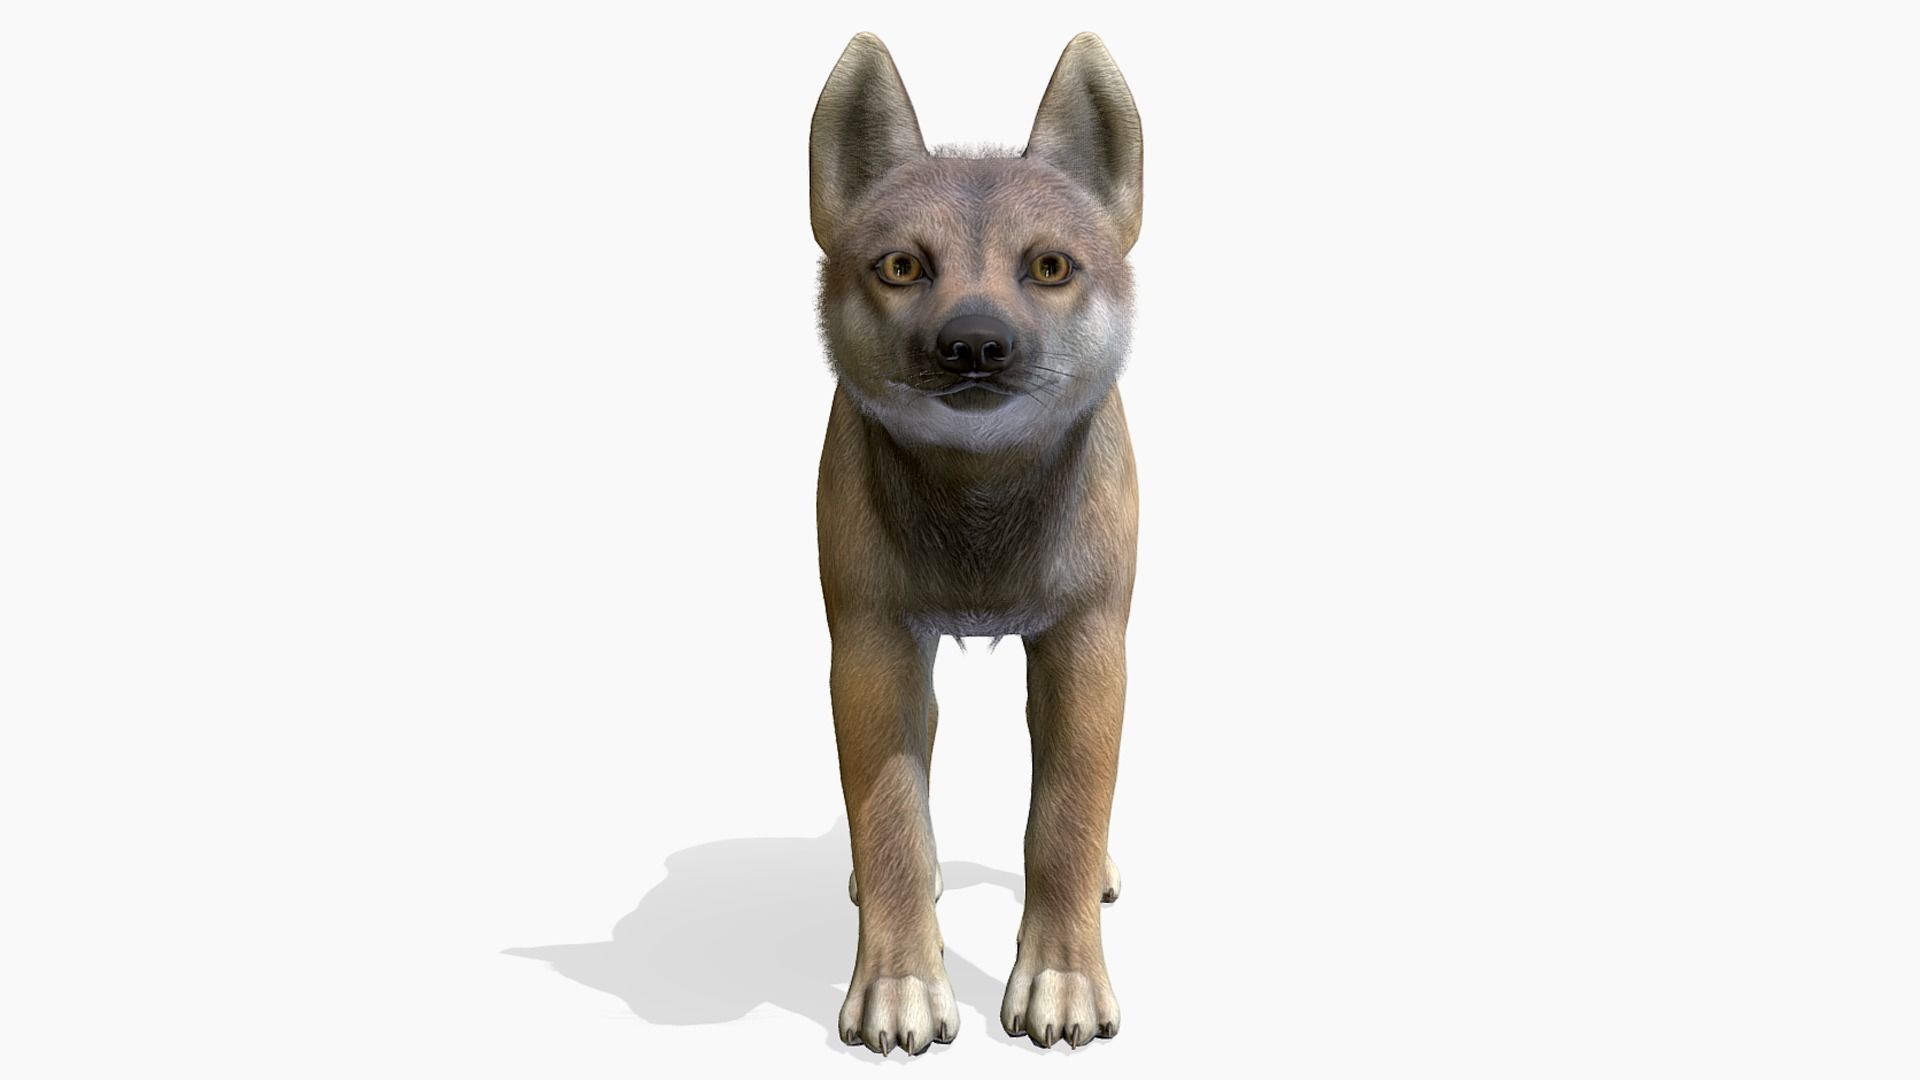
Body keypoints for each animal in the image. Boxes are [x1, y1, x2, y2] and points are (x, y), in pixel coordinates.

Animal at [809, 31, 1144, 1054]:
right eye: (901, 267)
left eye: (1050, 268)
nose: (974, 343)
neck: (981, 503)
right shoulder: (871, 648)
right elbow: (889, 819)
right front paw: (899, 983)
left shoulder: (1085, 645)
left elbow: (1065, 821)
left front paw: (1064, 978)